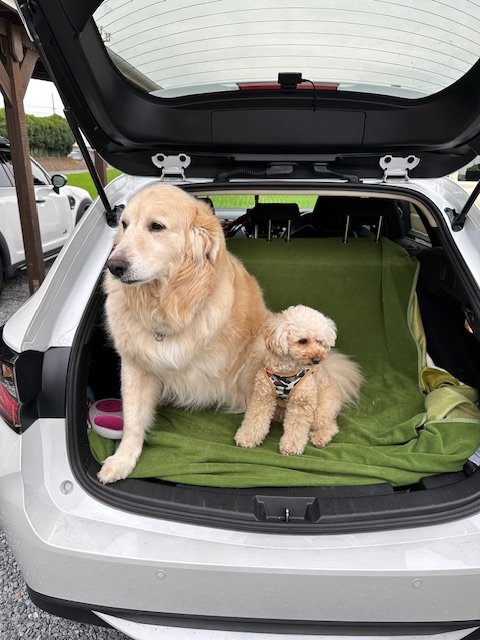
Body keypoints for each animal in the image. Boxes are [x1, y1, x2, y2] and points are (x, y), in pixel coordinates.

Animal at [98, 182, 270, 482]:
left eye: (156, 226)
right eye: (124, 224)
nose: (114, 266)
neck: (163, 304)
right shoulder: (134, 365)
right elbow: (132, 419)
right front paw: (123, 460)